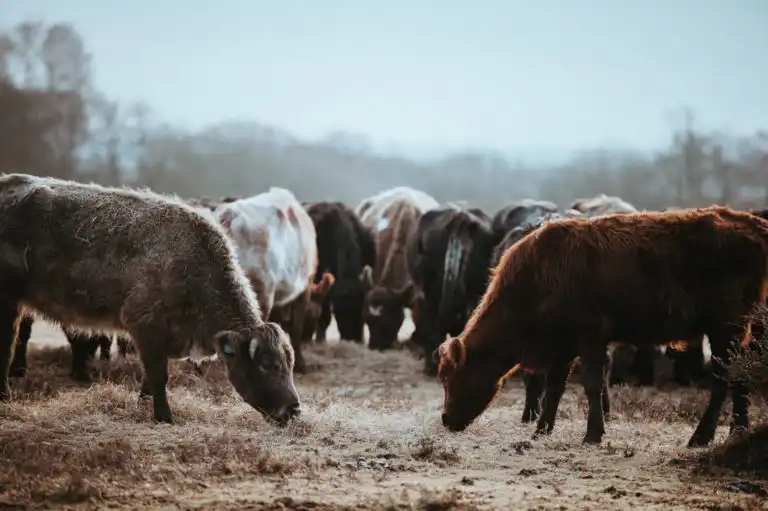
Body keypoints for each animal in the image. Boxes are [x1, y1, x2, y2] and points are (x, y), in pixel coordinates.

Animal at [0, 174, 300, 426]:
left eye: (290, 364)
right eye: (268, 365)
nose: (295, 409)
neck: (194, 265)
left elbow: (149, 379)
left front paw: (145, 406)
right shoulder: (144, 328)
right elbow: (158, 376)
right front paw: (164, 416)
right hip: (9, 303)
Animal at [435, 206, 768, 448]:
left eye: (452, 377)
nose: (446, 418)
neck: (538, 276)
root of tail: (753, 225)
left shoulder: (590, 338)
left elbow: (592, 384)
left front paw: (592, 434)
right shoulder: (563, 347)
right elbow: (554, 389)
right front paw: (541, 431)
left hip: (725, 328)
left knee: (723, 378)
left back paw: (701, 437)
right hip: (737, 332)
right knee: (738, 374)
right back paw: (737, 432)